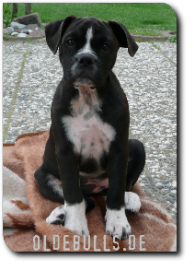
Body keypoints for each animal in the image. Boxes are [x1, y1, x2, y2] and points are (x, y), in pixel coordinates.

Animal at [34, 15, 145, 240]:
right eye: (69, 42)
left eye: (105, 46)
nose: (85, 59)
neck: (87, 95)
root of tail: (94, 188)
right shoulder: (66, 152)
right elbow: (72, 194)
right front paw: (75, 226)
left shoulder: (119, 150)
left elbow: (116, 190)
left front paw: (117, 221)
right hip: (42, 176)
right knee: (86, 199)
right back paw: (60, 215)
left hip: (137, 147)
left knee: (119, 188)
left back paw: (130, 200)